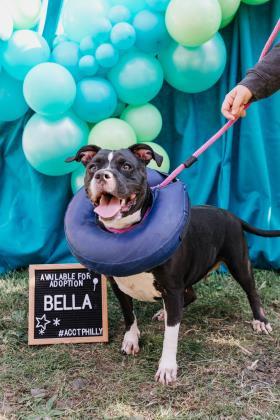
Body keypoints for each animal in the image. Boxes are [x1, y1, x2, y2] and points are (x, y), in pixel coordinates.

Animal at [66, 144, 278, 384]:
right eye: (93, 167)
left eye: (126, 166)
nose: (102, 175)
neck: (125, 231)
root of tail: (231, 215)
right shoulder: (118, 286)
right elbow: (129, 315)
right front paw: (131, 339)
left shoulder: (173, 288)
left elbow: (171, 334)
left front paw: (167, 367)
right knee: (191, 295)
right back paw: (163, 312)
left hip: (239, 263)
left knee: (251, 291)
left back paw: (260, 320)